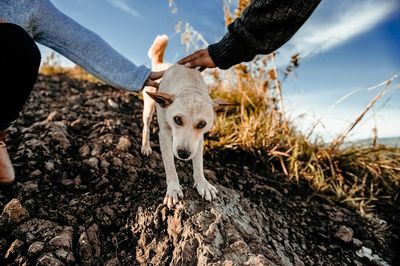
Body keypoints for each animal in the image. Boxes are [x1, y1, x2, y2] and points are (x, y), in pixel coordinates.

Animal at [141, 35, 233, 209]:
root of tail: (161, 64)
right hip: (148, 108)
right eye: (177, 119)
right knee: (146, 127)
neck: (190, 84)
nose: (183, 154)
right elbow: (170, 165)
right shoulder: (165, 134)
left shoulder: (199, 139)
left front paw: (202, 183)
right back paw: (146, 146)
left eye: (202, 124)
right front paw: (173, 188)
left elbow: (198, 163)